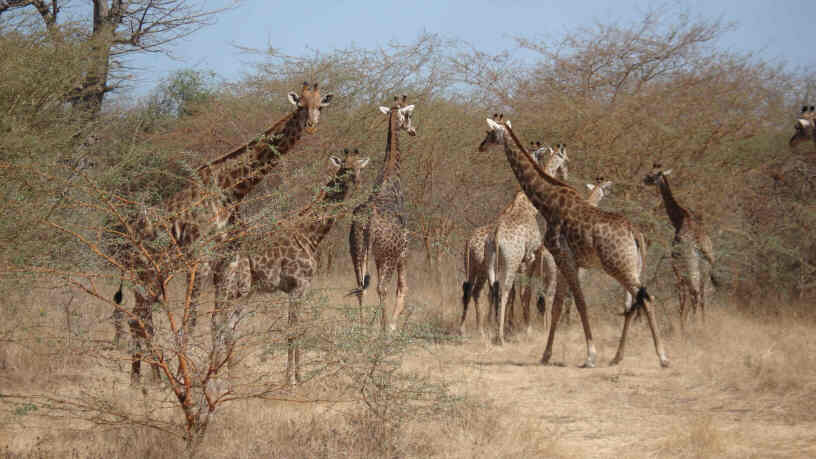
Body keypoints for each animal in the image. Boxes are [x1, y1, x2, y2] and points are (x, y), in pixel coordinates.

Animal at [113, 82, 334, 384]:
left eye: (320, 106)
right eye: (300, 105)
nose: (311, 125)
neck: (231, 191)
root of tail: (126, 236)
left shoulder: (226, 261)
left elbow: (219, 321)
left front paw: (216, 377)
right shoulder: (200, 260)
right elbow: (192, 319)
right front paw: (186, 377)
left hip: (156, 274)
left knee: (141, 316)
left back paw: (151, 378)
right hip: (144, 271)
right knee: (138, 317)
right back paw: (142, 380)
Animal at [218, 149, 368, 386]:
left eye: (359, 168)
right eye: (344, 167)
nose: (356, 180)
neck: (310, 235)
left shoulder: (299, 290)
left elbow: (297, 329)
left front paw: (297, 375)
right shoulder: (298, 287)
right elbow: (293, 330)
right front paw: (293, 379)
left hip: (241, 292)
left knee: (227, 326)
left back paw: (230, 378)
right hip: (235, 290)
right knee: (222, 325)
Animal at [348, 95, 418, 332]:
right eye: (409, 115)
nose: (413, 130)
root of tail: (367, 222)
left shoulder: (379, 255)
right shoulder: (403, 251)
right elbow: (403, 287)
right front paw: (392, 326)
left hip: (357, 249)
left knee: (361, 286)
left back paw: (363, 328)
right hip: (388, 255)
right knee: (381, 288)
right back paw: (383, 329)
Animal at [490, 119, 668, 370]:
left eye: (490, 133)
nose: (482, 145)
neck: (547, 203)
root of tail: (635, 233)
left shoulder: (564, 259)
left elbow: (578, 303)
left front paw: (590, 356)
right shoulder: (566, 262)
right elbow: (558, 306)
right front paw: (546, 354)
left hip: (619, 267)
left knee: (645, 298)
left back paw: (662, 357)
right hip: (631, 268)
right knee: (635, 302)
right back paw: (618, 357)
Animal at [640, 164, 716, 328]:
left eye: (655, 173)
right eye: (652, 171)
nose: (645, 179)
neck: (680, 219)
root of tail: (700, 248)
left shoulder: (675, 265)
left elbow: (681, 294)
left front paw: (682, 324)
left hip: (689, 268)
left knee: (693, 293)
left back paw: (692, 326)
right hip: (705, 270)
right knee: (702, 296)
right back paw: (703, 325)